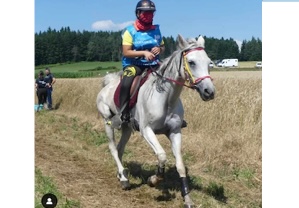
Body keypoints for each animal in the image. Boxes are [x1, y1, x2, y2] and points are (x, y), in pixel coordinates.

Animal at [96, 35, 216, 207]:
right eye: (191, 62)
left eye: (209, 62)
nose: (209, 92)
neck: (166, 98)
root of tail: (107, 84)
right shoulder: (147, 130)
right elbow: (162, 155)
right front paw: (153, 180)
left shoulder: (174, 132)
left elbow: (180, 165)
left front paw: (187, 198)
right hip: (107, 122)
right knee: (112, 148)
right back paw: (124, 180)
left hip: (127, 128)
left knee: (120, 149)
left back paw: (121, 174)